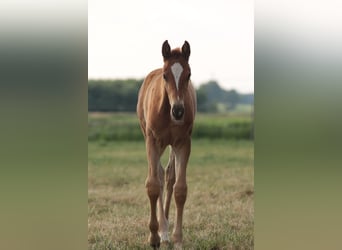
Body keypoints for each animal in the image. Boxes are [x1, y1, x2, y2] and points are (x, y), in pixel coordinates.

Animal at [136, 40, 195, 249]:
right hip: (157, 142)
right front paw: (153, 237)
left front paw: (177, 239)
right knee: (160, 175)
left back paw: (166, 229)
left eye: (188, 74)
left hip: (170, 145)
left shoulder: (183, 142)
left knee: (168, 175)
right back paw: (162, 230)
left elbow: (180, 189)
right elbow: (153, 185)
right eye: (165, 75)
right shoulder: (152, 141)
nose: (178, 111)